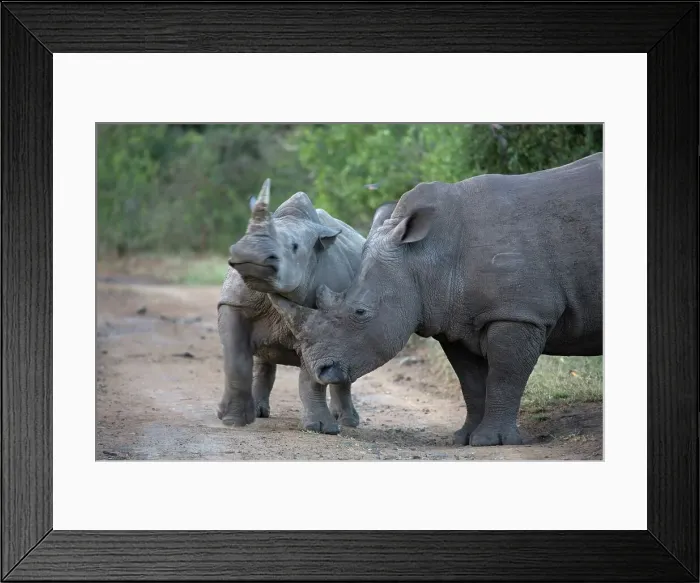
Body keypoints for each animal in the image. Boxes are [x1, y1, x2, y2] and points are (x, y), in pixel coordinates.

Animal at [216, 179, 393, 434]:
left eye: (294, 246)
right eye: (245, 234)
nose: (251, 254)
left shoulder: (325, 320)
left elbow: (311, 375)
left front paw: (320, 428)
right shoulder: (233, 302)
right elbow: (236, 360)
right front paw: (233, 420)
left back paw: (347, 422)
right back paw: (258, 413)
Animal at [269, 153, 604, 447]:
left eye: (361, 312)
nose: (322, 370)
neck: (426, 257)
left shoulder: (519, 312)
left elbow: (504, 376)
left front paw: (491, 441)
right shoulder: (457, 320)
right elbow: (470, 382)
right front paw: (465, 439)